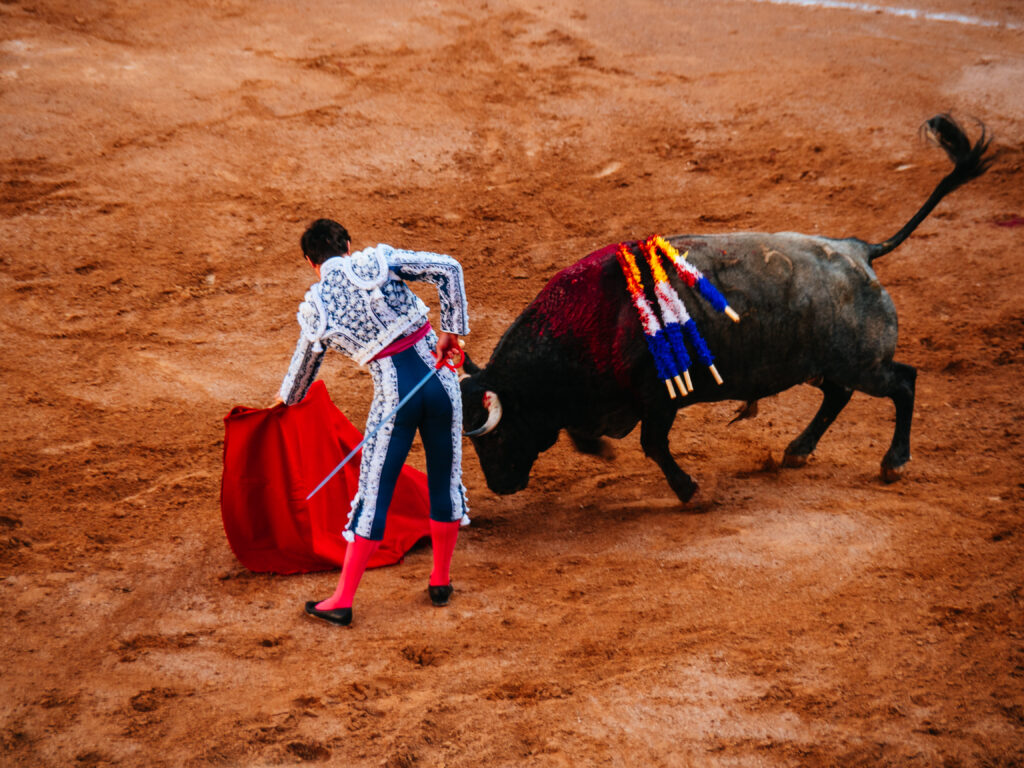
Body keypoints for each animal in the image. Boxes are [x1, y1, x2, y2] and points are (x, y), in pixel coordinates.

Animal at [462, 114, 991, 505]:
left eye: (491, 437)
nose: (500, 486)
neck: (588, 323)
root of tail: (859, 250)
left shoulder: (657, 400)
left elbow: (652, 445)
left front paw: (689, 491)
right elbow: (588, 434)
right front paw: (602, 450)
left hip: (864, 364)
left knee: (903, 383)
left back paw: (893, 462)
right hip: (823, 364)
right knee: (838, 396)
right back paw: (797, 451)